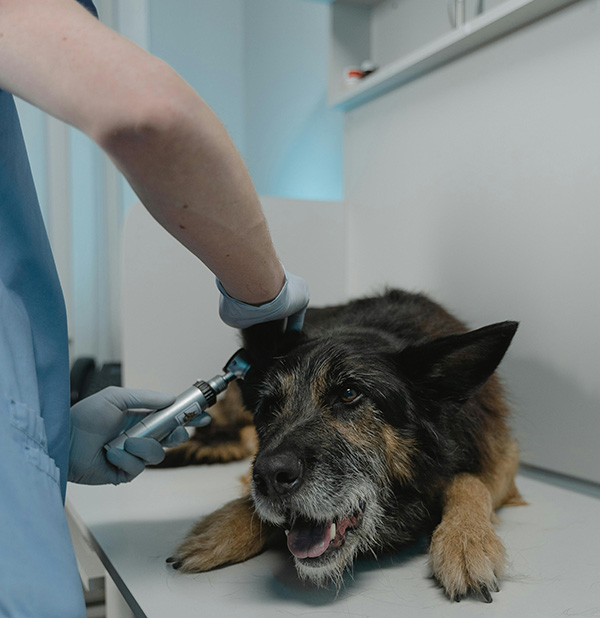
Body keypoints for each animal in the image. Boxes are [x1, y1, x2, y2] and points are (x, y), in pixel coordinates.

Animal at [165, 290, 524, 600]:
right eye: (268, 406)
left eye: (349, 394)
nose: (268, 477)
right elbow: (253, 499)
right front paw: (224, 528)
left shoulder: (502, 457)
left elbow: (469, 482)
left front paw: (466, 540)